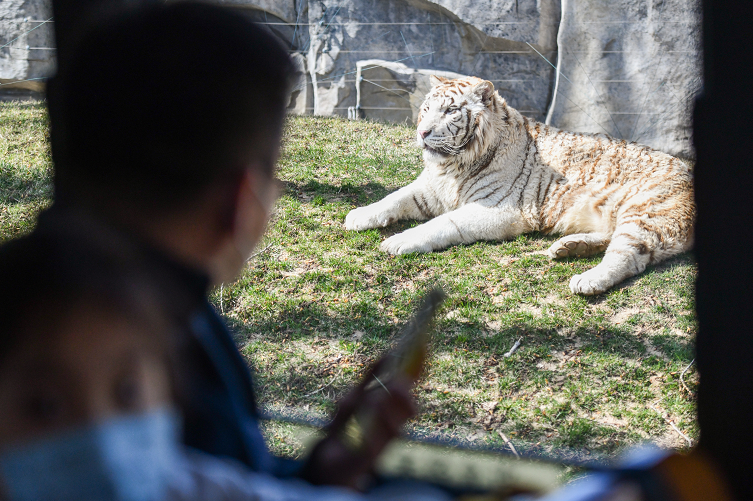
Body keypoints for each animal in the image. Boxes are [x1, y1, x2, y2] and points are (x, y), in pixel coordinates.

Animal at [346, 76, 692, 294]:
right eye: (426, 109)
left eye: (450, 110)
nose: (423, 132)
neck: (454, 165)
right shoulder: (430, 189)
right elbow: (395, 197)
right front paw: (357, 216)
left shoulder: (501, 209)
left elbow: (444, 223)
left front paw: (399, 241)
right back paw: (570, 247)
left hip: (646, 214)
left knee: (630, 256)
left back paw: (588, 280)